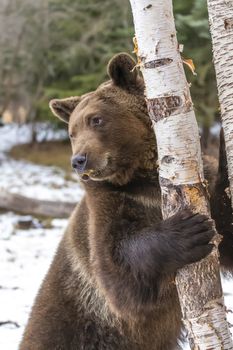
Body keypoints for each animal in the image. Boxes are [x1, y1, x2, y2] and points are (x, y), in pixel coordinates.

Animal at [19, 52, 233, 350]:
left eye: (96, 120)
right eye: (72, 132)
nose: (79, 160)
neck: (143, 179)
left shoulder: (200, 186)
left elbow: (225, 225)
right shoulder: (107, 205)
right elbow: (116, 266)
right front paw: (189, 230)